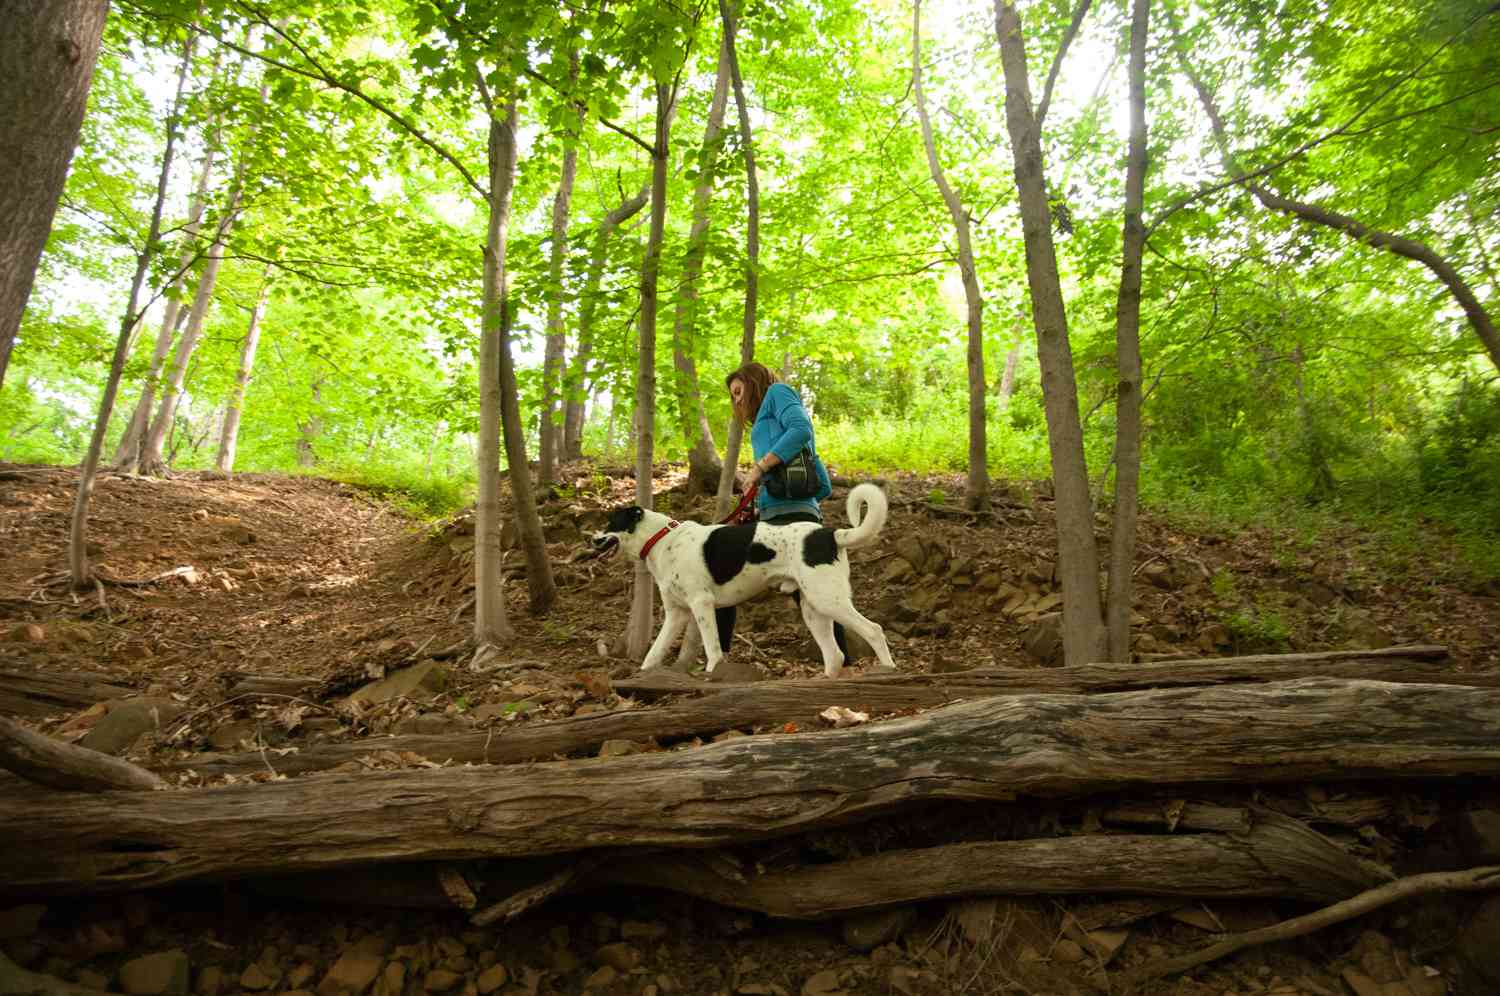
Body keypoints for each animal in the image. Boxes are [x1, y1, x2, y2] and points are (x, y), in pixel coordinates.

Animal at [585, 483, 888, 678]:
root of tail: (831, 534)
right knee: (835, 655)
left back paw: (888, 670)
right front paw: (643, 677)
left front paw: (712, 674)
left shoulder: (702, 604)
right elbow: (653, 653)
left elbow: (713, 649)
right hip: (813, 608)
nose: (591, 540)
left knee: (873, 630)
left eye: (610, 522)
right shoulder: (676, 614)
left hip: (828, 600)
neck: (662, 540)